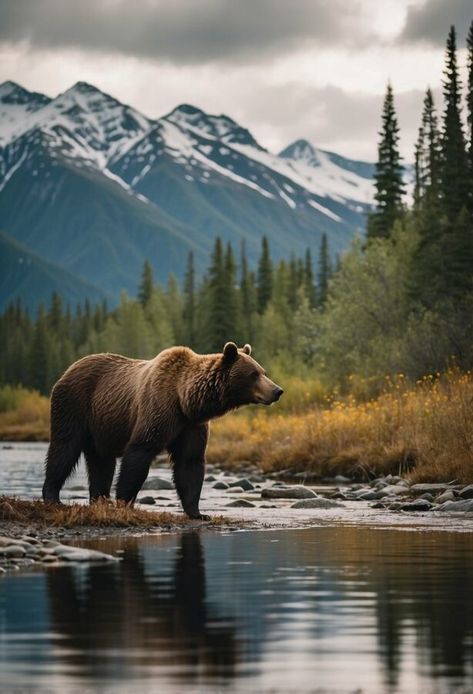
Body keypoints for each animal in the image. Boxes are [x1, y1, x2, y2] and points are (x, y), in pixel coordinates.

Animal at [42, 346, 282, 520]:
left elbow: (190, 463)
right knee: (64, 448)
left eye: (264, 372)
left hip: (101, 427)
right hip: (74, 405)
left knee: (101, 462)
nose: (277, 390)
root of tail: (69, 368)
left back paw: (100, 500)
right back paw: (53, 497)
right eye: (253, 374)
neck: (185, 401)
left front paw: (198, 513)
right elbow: (139, 453)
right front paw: (125, 502)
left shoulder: (191, 426)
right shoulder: (158, 410)